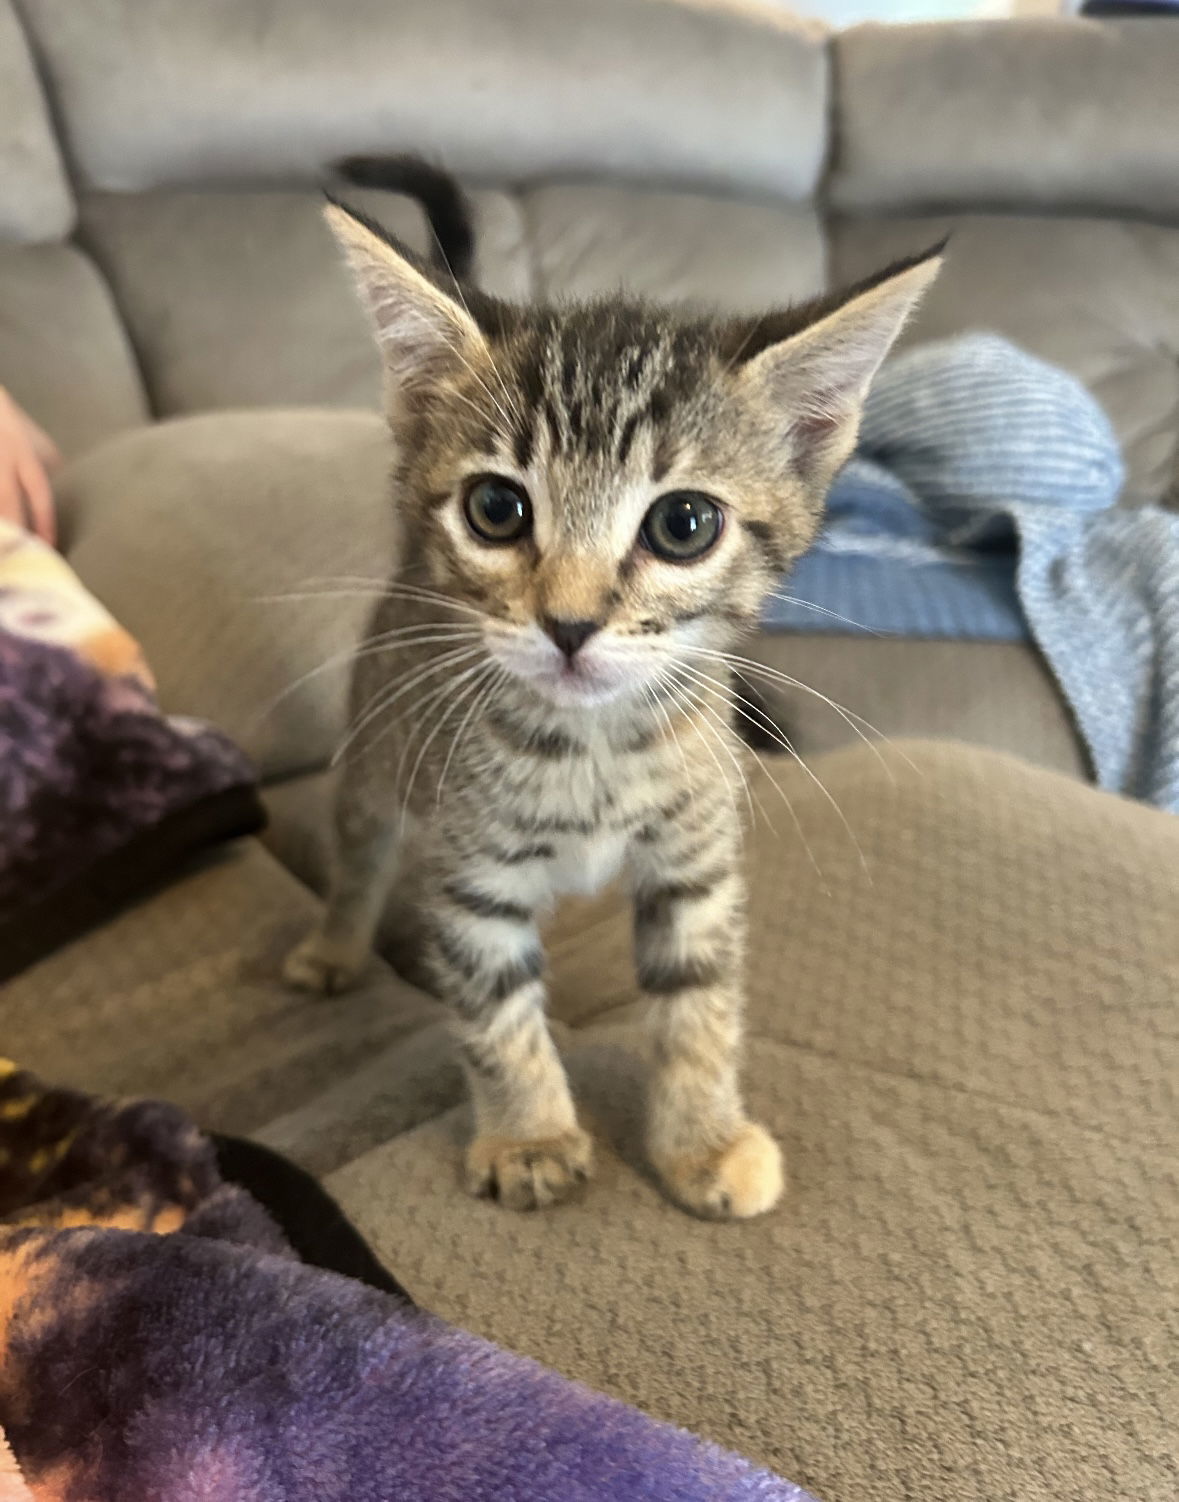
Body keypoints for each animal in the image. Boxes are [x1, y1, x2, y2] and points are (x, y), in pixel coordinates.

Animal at [286, 172, 937, 1219]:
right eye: (496, 509)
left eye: (683, 524)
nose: (569, 623)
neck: (593, 746)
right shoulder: (471, 878)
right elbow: (494, 1013)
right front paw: (530, 1136)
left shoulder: (694, 865)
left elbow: (699, 1005)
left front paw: (701, 1140)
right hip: (380, 746)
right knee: (361, 849)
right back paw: (335, 947)